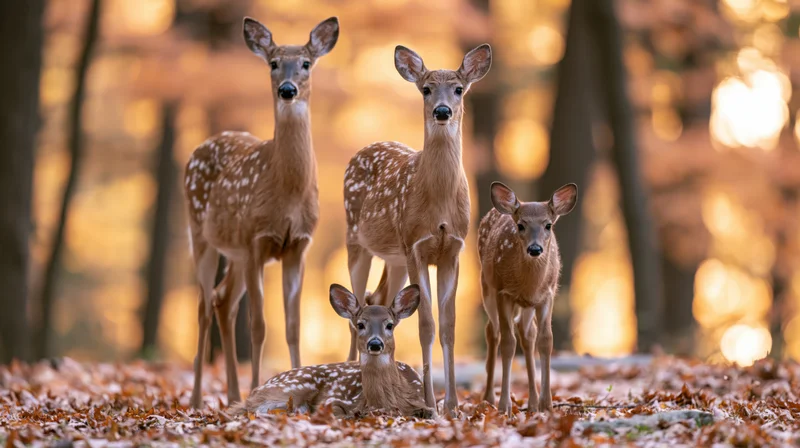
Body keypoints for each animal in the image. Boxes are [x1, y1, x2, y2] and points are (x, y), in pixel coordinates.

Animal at [183, 16, 339, 408]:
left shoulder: (297, 246)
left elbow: (293, 326)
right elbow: (258, 326)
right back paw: (197, 399)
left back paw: (231, 395)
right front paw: (256, 388)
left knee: (223, 301)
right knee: (204, 305)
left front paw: (298, 377)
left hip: (235, 252)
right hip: (201, 234)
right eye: (273, 63)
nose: (287, 89)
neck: (288, 191)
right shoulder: (256, 240)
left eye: (306, 63)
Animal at [342, 44, 492, 416]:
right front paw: (430, 403)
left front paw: (452, 405)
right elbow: (426, 324)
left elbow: (448, 325)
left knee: (377, 298)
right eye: (425, 89)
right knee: (354, 308)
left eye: (459, 89)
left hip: (394, 258)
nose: (442, 111)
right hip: (356, 241)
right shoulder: (416, 246)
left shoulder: (453, 250)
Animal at [478, 182, 578, 415]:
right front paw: (504, 406)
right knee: (493, 332)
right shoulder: (503, 293)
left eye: (548, 225)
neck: (529, 284)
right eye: (521, 225)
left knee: (527, 335)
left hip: (527, 306)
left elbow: (545, 340)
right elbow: (508, 344)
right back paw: (488, 398)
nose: (535, 248)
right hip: (487, 287)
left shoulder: (547, 294)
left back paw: (532, 404)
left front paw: (547, 405)